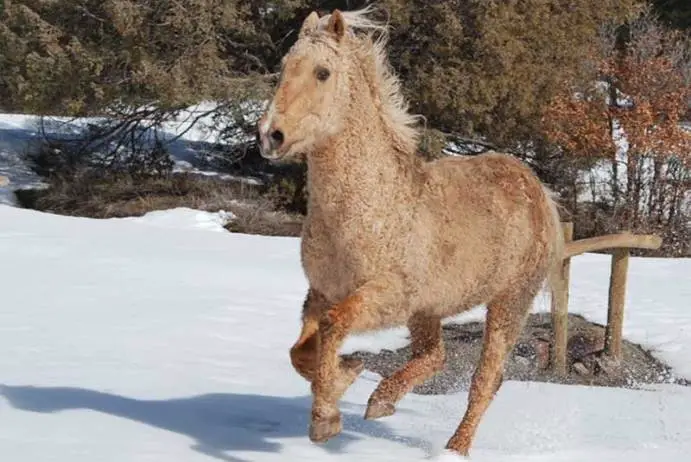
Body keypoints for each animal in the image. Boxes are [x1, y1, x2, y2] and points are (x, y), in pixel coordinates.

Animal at [256, 7, 564, 458]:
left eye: (323, 72)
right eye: (283, 67)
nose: (269, 135)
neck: (370, 208)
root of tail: (538, 190)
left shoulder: (388, 297)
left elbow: (332, 326)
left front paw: (327, 417)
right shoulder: (321, 291)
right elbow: (300, 351)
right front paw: (345, 376)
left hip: (509, 303)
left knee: (484, 380)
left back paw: (454, 447)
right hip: (429, 310)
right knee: (436, 355)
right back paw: (382, 400)